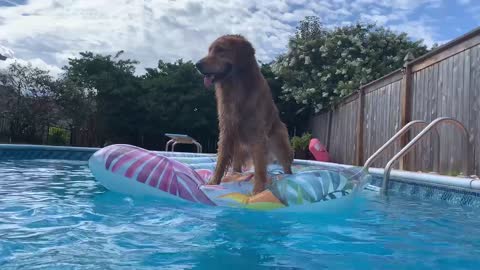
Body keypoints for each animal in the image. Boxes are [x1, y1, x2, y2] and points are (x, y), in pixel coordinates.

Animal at [195, 34, 292, 194]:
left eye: (221, 50)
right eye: (209, 51)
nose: (197, 65)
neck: (236, 88)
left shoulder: (257, 136)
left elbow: (260, 168)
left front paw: (257, 191)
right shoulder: (226, 131)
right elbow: (221, 160)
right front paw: (213, 182)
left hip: (280, 144)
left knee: (287, 165)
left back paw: (289, 176)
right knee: (236, 166)